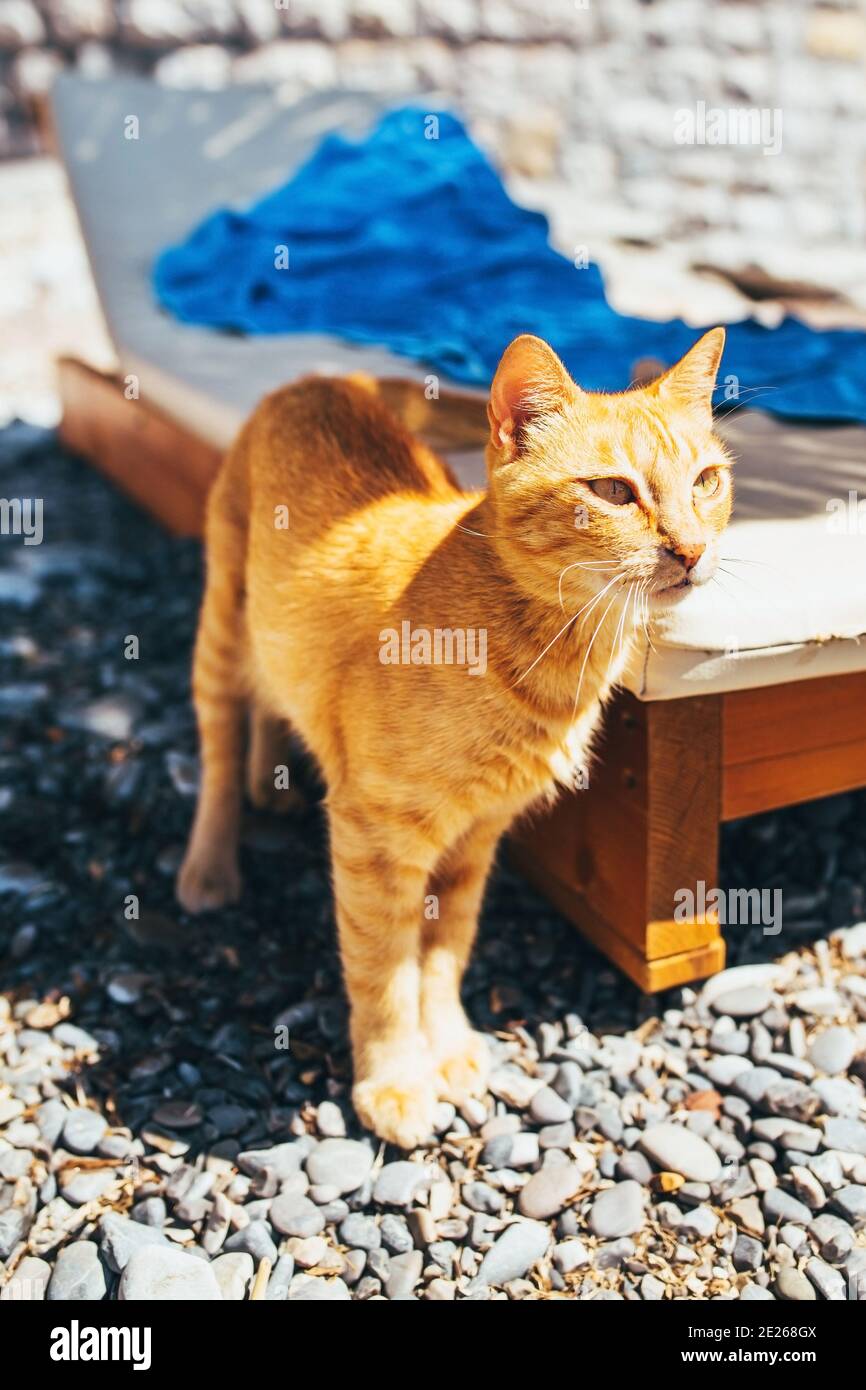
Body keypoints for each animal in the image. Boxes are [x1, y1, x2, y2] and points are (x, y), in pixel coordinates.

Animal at [179, 328, 733, 1150]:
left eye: (705, 482)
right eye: (612, 491)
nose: (692, 551)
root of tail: (322, 378)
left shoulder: (476, 840)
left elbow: (444, 956)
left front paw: (445, 1048)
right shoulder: (374, 839)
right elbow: (383, 970)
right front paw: (394, 1081)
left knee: (275, 703)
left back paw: (268, 779)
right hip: (221, 623)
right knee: (220, 746)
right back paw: (211, 864)